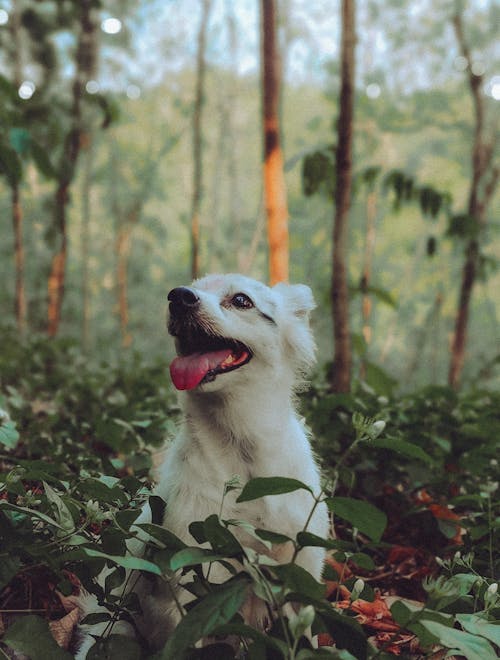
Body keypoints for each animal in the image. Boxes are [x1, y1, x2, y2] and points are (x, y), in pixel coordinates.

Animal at [76, 274, 328, 656]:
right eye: (188, 287)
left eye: (241, 300)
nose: (178, 297)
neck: (242, 448)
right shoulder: (193, 586)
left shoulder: (301, 577)